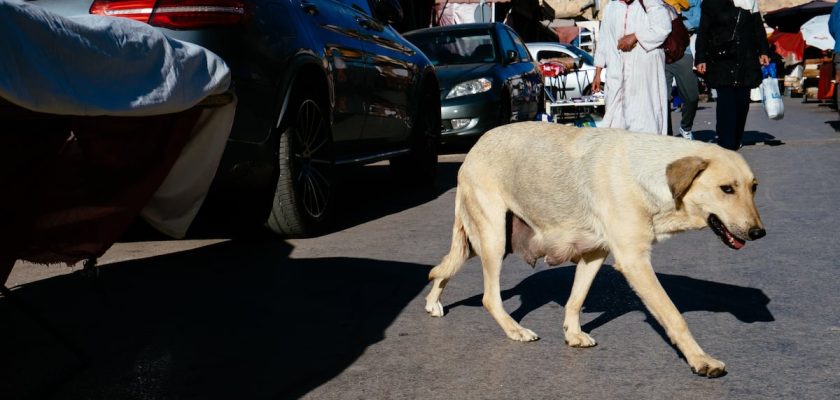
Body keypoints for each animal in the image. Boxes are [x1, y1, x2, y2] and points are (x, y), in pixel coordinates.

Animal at [430, 122, 764, 378]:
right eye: (726, 189)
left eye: (754, 187)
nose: (759, 233)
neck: (651, 175)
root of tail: (476, 147)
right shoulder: (634, 261)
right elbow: (674, 316)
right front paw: (700, 360)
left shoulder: (595, 253)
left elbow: (576, 299)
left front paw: (572, 333)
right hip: (493, 238)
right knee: (489, 296)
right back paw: (515, 330)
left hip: (480, 241)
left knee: (445, 265)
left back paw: (433, 303)